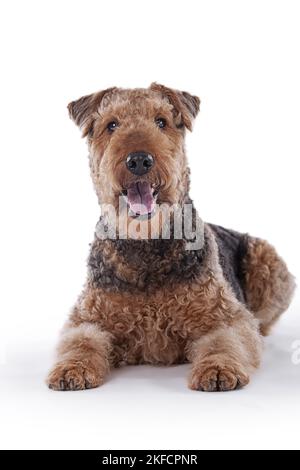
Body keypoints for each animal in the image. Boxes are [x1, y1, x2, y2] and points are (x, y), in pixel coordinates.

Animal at [47, 82, 296, 392]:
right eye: (111, 125)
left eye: (161, 121)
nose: (139, 160)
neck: (146, 249)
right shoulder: (87, 318)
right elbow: (81, 341)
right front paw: (72, 369)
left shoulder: (226, 318)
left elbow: (224, 342)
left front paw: (217, 370)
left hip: (267, 263)